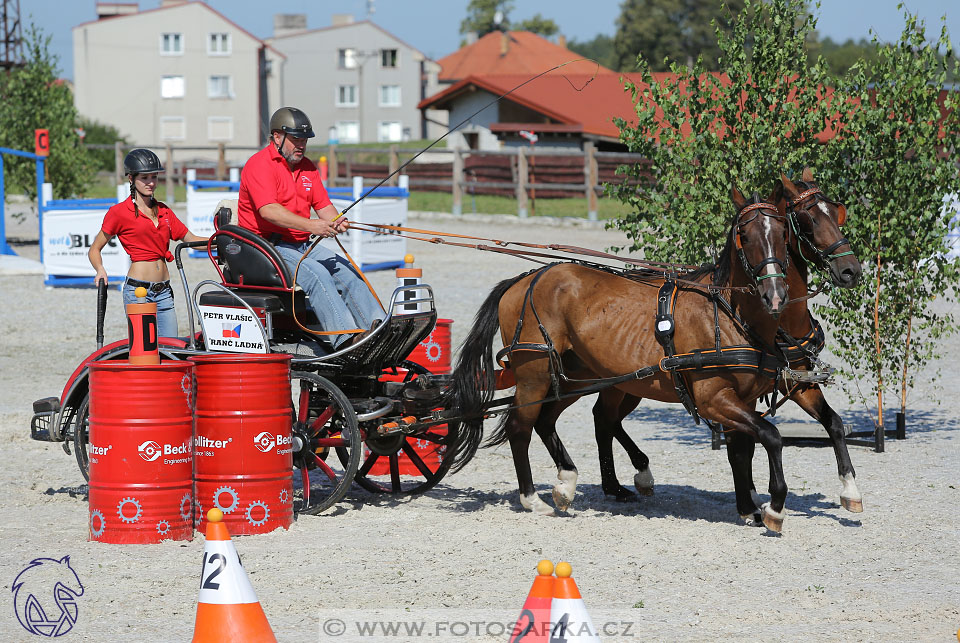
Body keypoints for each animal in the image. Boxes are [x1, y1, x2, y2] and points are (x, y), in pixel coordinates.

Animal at [450, 189, 796, 532]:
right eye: (744, 235)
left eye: (783, 233)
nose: (775, 295)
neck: (726, 313)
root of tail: (527, 278)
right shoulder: (713, 399)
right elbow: (771, 437)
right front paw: (774, 508)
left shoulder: (744, 400)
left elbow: (742, 451)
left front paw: (749, 508)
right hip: (534, 373)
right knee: (520, 426)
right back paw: (532, 499)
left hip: (576, 375)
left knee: (549, 420)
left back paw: (567, 483)